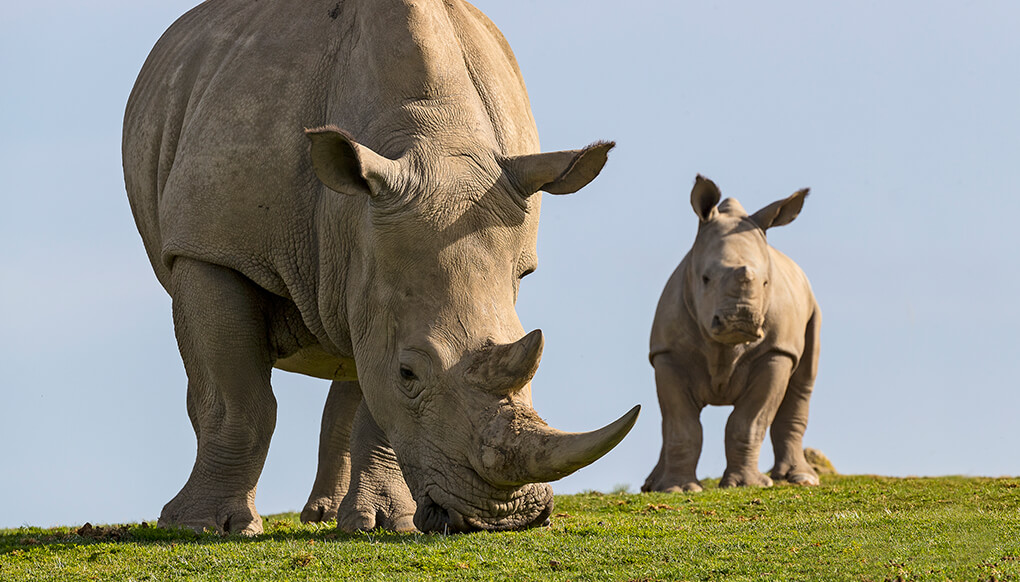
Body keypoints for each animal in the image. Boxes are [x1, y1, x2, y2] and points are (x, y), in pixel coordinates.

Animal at [121, 0, 636, 538]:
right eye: (409, 373)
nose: (503, 518)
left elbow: (375, 395)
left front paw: (391, 524)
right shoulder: (212, 247)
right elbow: (237, 399)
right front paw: (200, 527)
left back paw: (336, 519)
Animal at [644, 174, 820, 491]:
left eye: (766, 283)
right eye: (705, 278)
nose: (741, 319)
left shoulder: (776, 352)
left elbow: (748, 422)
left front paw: (746, 485)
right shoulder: (667, 354)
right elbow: (680, 425)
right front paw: (678, 488)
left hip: (812, 309)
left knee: (802, 383)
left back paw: (801, 479)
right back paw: (652, 485)